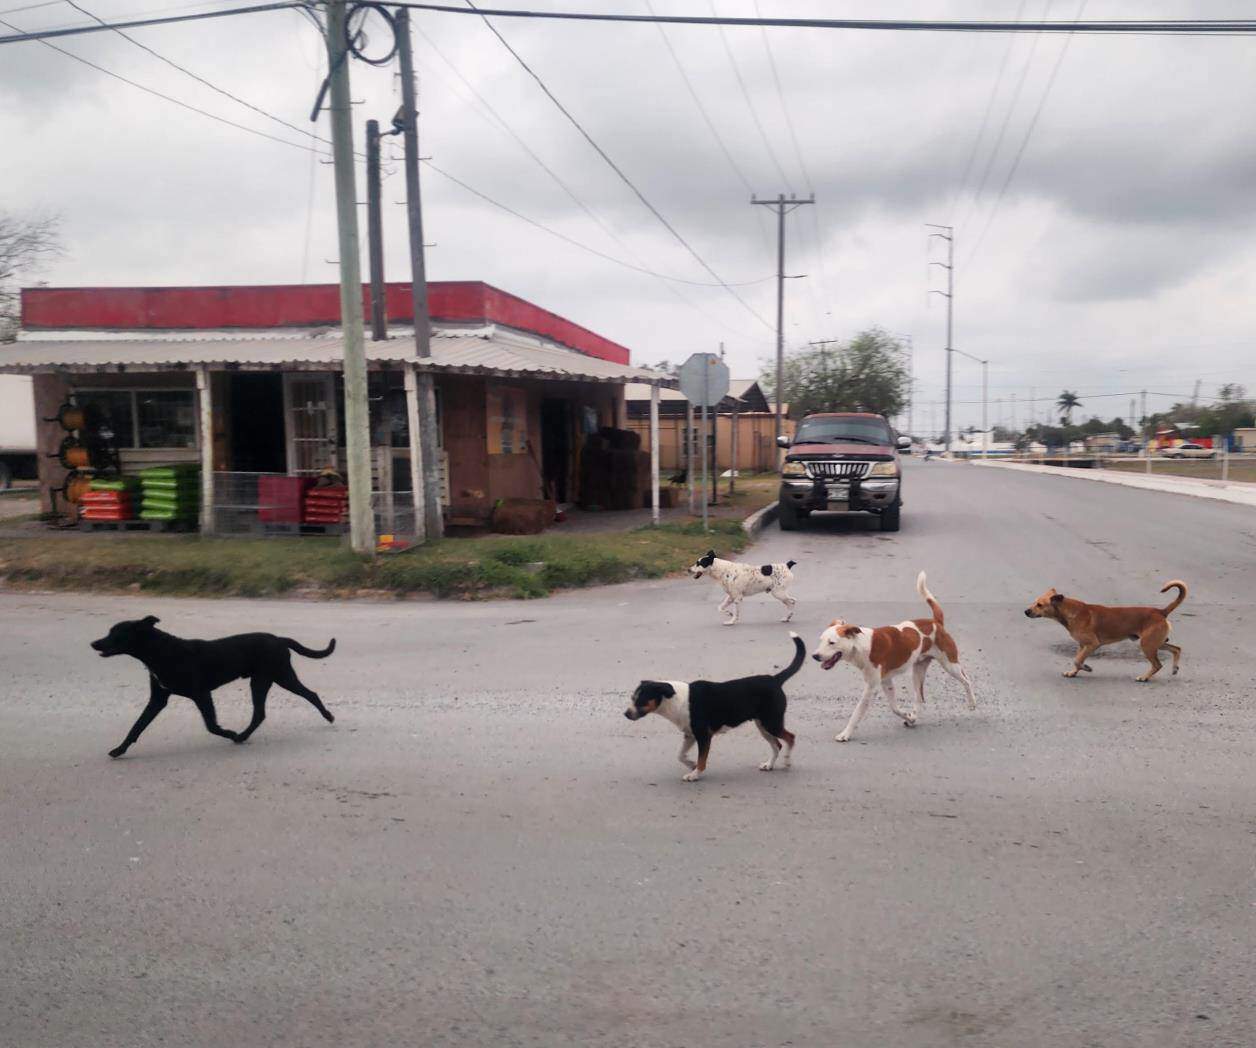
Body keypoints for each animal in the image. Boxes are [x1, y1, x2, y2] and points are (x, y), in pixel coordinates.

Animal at [91, 615, 339, 753]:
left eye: (117, 633)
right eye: (109, 631)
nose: (94, 643)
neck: (163, 651)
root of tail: (279, 639)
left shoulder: (201, 694)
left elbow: (211, 725)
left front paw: (228, 732)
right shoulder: (158, 699)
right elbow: (137, 726)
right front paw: (119, 749)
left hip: (278, 677)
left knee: (309, 695)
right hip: (266, 680)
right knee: (262, 713)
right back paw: (243, 736)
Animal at [620, 628, 803, 774]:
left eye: (640, 700)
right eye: (632, 698)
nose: (626, 714)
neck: (676, 700)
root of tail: (774, 679)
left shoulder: (703, 736)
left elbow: (702, 759)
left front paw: (695, 774)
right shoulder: (690, 735)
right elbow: (680, 755)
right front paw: (691, 765)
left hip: (771, 723)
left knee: (790, 738)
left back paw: (787, 761)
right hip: (763, 725)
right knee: (777, 745)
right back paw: (769, 765)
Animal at [808, 573, 974, 743]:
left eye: (832, 642)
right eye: (821, 640)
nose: (815, 656)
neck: (861, 645)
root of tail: (935, 622)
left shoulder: (871, 687)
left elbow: (857, 713)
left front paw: (845, 734)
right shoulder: (886, 681)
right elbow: (894, 708)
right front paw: (909, 717)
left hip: (950, 665)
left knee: (967, 680)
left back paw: (971, 702)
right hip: (918, 671)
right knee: (919, 697)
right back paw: (914, 716)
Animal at [1019, 575, 1185, 683]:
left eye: (1039, 605)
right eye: (1035, 602)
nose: (1026, 612)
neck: (1070, 611)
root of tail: (1160, 611)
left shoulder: (1092, 644)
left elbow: (1077, 660)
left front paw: (1086, 667)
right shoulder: (1082, 645)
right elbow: (1077, 659)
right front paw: (1074, 672)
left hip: (1147, 645)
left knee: (1158, 664)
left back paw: (1145, 677)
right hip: (1156, 642)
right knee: (1176, 649)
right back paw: (1175, 668)